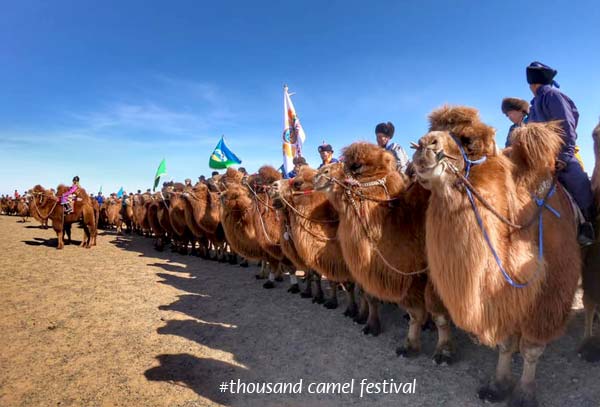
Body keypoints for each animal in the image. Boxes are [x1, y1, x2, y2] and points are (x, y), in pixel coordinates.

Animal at [270, 167, 358, 314]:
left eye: (297, 183)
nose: (273, 186)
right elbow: (316, 275)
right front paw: (317, 296)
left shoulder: (344, 259)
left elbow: (348, 283)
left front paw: (351, 309)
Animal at [314, 143, 450, 364]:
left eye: (356, 166)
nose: (319, 174)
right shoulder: (398, 274)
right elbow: (405, 310)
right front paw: (379, 330)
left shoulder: (428, 274)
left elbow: (438, 314)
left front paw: (443, 352)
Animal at [412, 107, 580, 406]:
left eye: (468, 140)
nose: (424, 145)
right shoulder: (504, 294)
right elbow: (505, 342)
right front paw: (498, 385)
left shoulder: (552, 289)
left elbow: (532, 347)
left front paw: (524, 392)